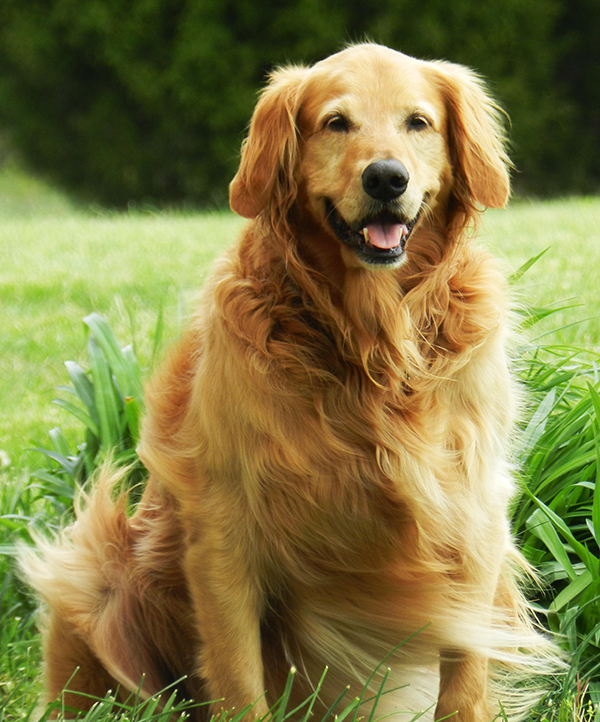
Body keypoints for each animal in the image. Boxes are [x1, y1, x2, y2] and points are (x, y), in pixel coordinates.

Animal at [23, 42, 556, 716]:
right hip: (97, 571)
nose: (386, 178)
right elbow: (238, 678)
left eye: (418, 122)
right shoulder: (224, 528)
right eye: (336, 123)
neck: (371, 343)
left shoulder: (473, 506)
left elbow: (464, 680)